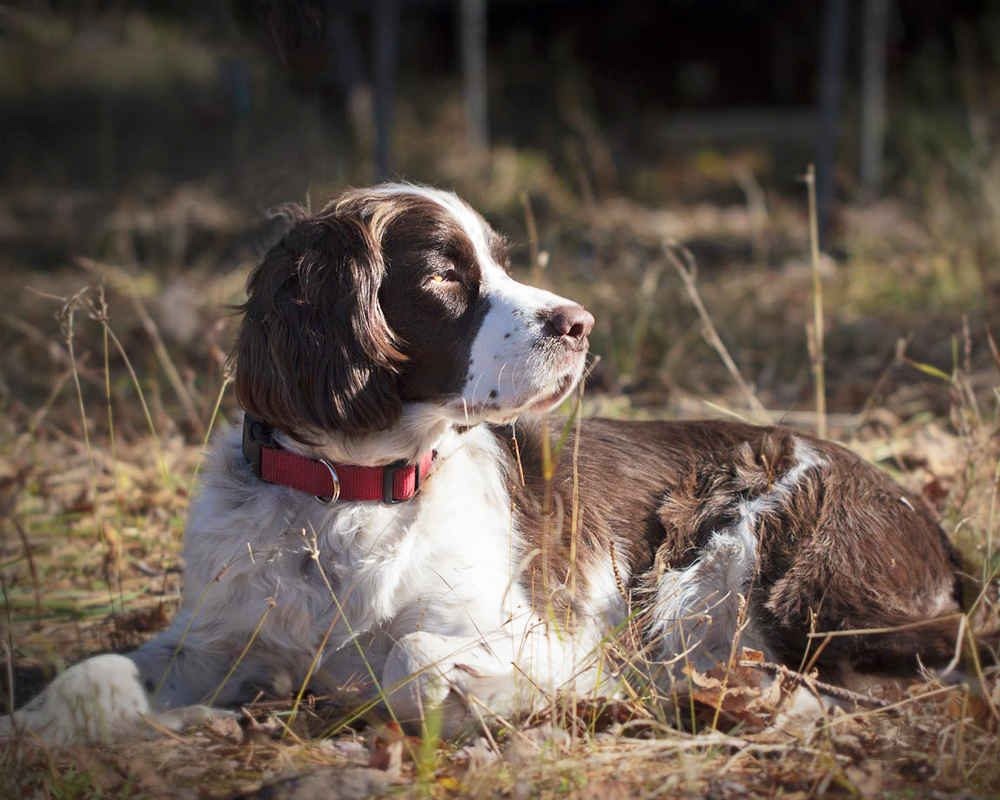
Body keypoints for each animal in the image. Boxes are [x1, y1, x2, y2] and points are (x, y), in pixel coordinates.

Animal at [1, 183, 992, 744]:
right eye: (444, 273)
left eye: (503, 261)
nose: (581, 324)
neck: (352, 492)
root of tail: (925, 520)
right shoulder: (215, 634)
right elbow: (111, 665)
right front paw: (45, 721)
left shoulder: (530, 624)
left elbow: (412, 658)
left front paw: (505, 694)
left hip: (751, 560)